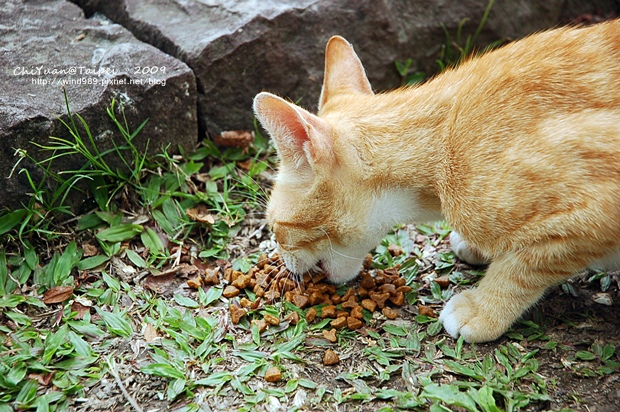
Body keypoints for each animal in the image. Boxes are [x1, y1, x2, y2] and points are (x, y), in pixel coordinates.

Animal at [252, 20, 620, 342]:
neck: (442, 144)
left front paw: (484, 310)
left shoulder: (591, 218)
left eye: (276, 228)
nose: (281, 262)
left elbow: (522, 267)